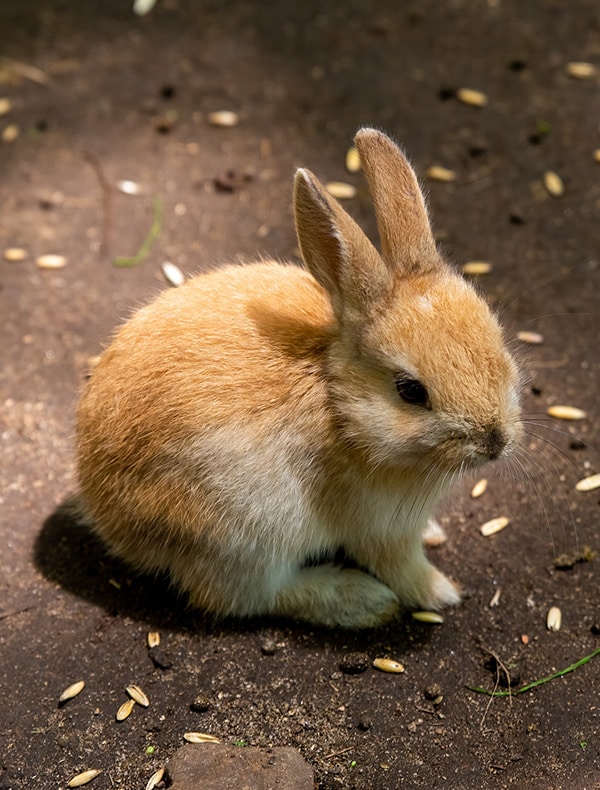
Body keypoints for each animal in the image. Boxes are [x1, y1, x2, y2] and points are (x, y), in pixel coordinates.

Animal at [74, 128, 522, 629]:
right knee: (245, 597)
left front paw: (436, 538)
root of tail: (105, 515)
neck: (340, 405)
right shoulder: (380, 528)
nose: (496, 440)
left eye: (497, 339)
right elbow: (401, 567)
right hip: (243, 536)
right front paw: (441, 593)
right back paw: (361, 601)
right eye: (410, 392)